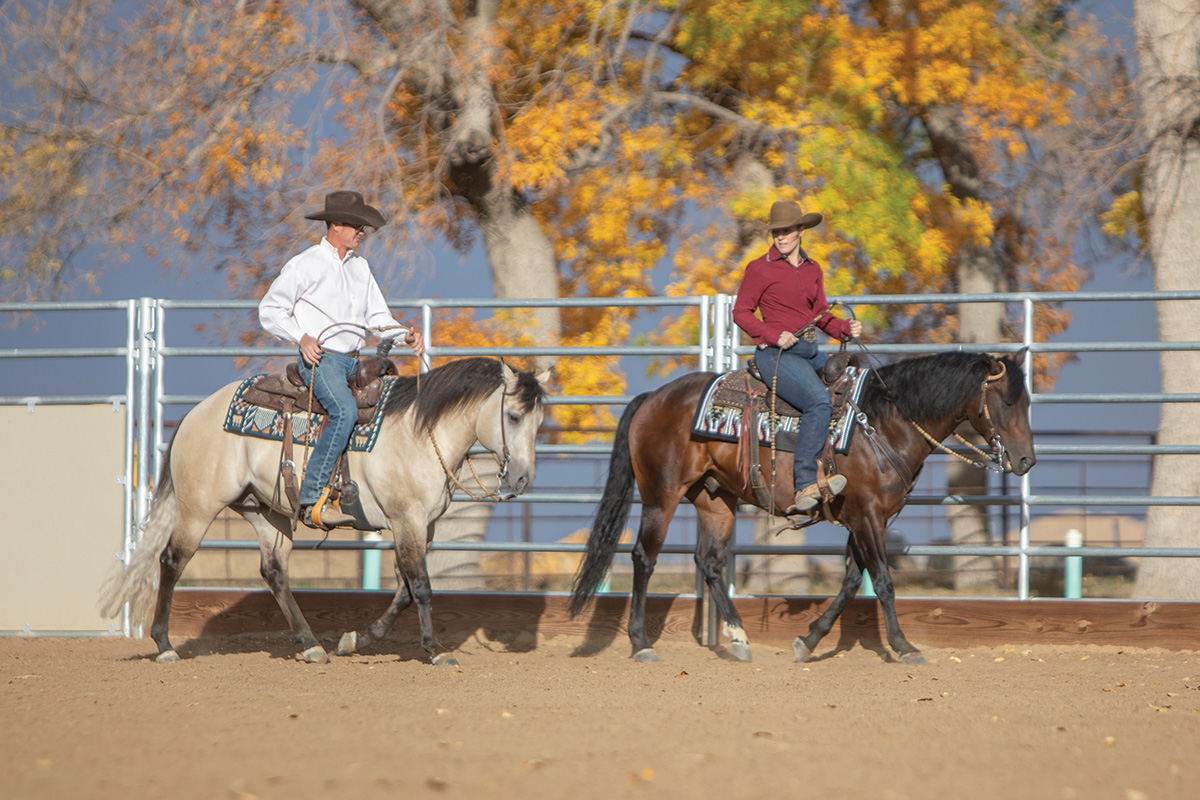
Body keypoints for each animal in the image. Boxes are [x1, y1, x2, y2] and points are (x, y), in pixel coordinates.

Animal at [104, 359, 552, 666]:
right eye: (513, 416)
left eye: (538, 422)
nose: (523, 479)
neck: (421, 434)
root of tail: (197, 413)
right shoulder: (407, 521)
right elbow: (421, 587)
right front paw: (435, 650)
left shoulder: (422, 525)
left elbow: (405, 590)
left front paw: (356, 639)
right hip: (199, 507)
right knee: (171, 561)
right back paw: (164, 645)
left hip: (266, 512)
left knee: (274, 571)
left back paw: (311, 645)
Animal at [568, 352, 1032, 666]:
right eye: (1007, 403)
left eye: (1027, 402)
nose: (1026, 460)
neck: (883, 423)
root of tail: (654, 398)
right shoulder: (867, 516)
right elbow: (883, 582)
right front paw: (903, 646)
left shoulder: (863, 519)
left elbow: (851, 582)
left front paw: (808, 641)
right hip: (660, 495)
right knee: (643, 559)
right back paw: (641, 643)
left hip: (715, 500)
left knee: (710, 562)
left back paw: (738, 639)